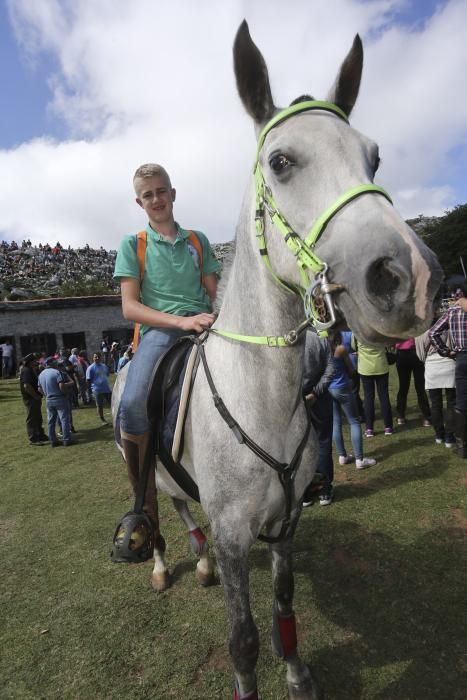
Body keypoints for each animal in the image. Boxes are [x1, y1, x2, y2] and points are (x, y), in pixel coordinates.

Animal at [112, 20, 442, 700]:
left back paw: (197, 557)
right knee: (152, 499)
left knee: (179, 500)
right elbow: (243, 638)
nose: (411, 278)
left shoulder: (285, 526)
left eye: (374, 157)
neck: (261, 397)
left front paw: (296, 673)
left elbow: (284, 604)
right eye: (281, 162)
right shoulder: (238, 537)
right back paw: (159, 558)